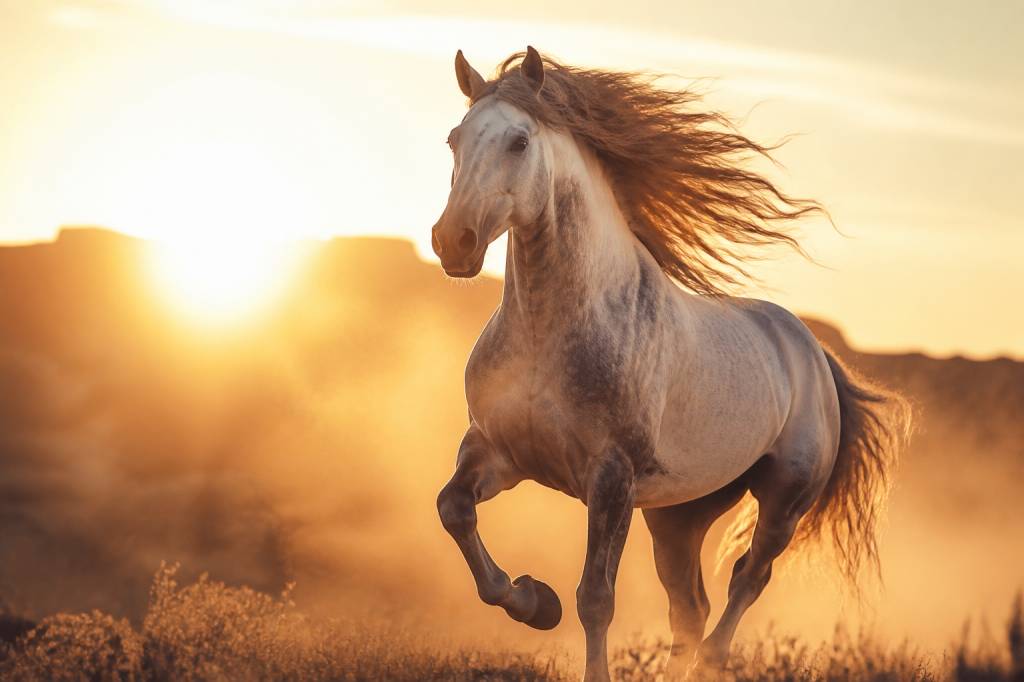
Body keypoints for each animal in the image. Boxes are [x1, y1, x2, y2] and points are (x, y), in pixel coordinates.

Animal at [431, 46, 911, 681]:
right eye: (455, 139)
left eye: (519, 141)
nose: (452, 241)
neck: (547, 335)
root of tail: (814, 354)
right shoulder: (497, 450)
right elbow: (455, 512)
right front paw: (535, 601)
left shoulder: (611, 479)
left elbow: (596, 597)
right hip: (679, 517)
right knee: (691, 605)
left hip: (783, 499)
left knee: (746, 580)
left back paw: (712, 659)